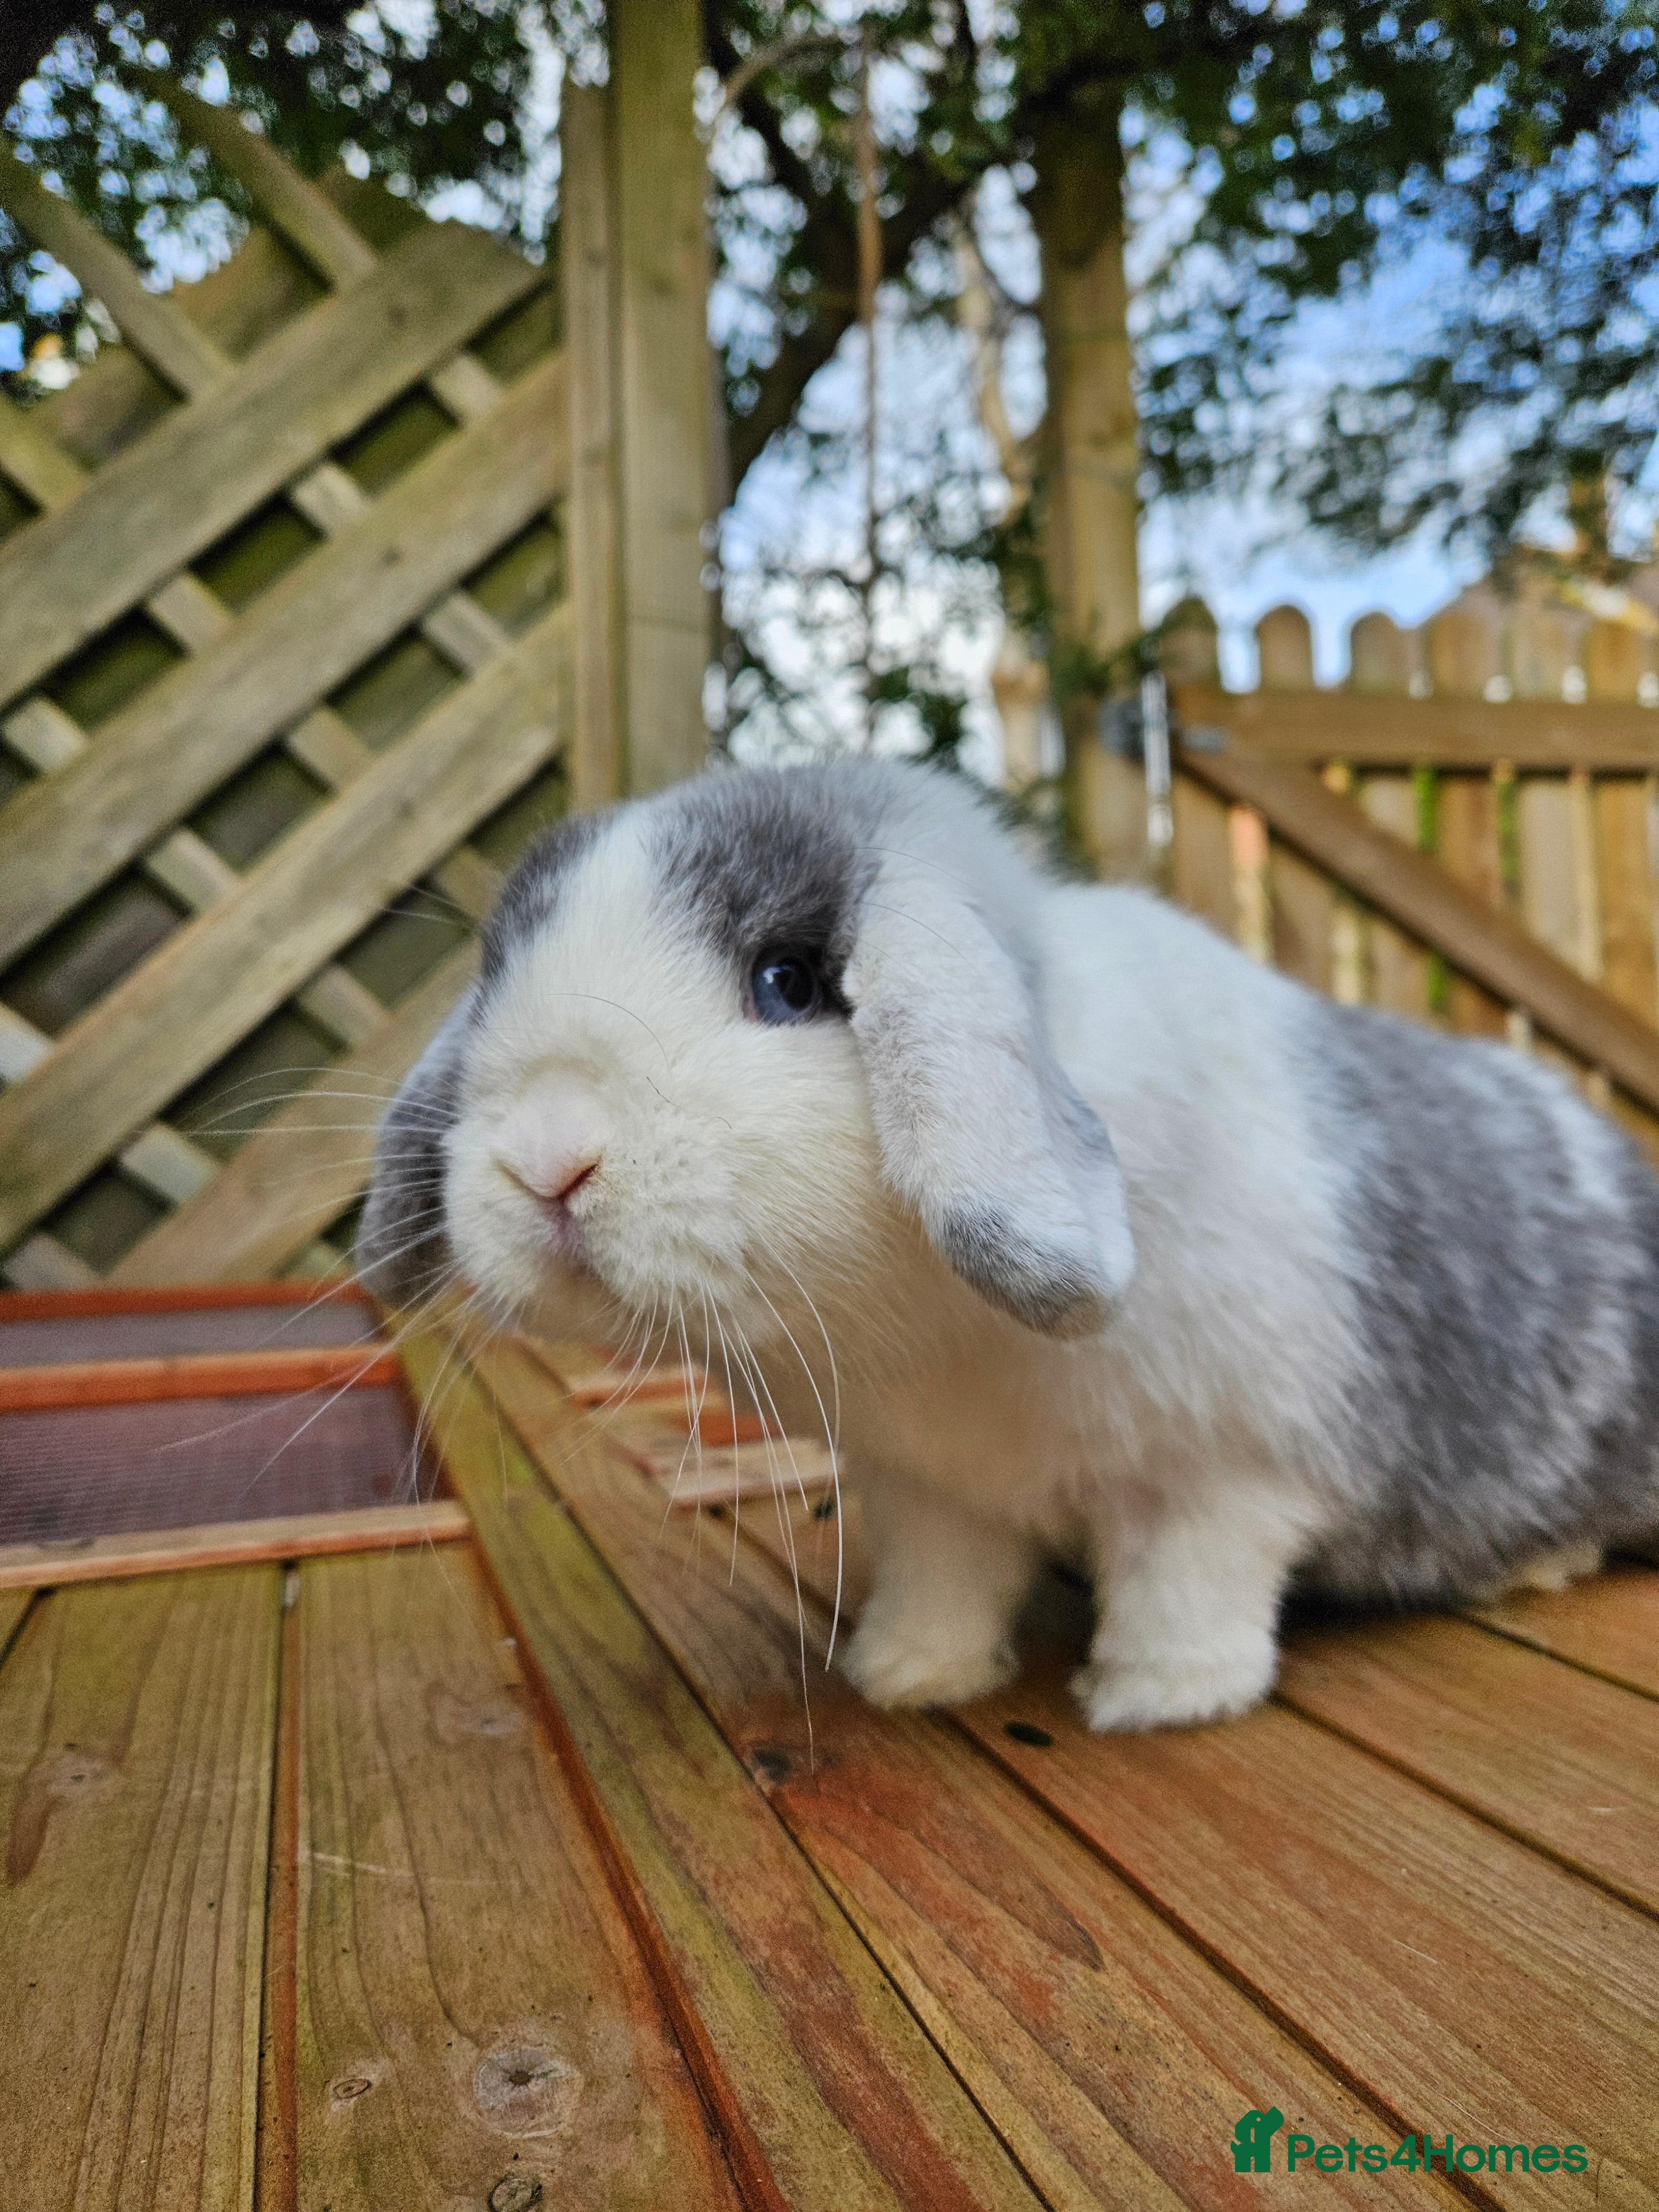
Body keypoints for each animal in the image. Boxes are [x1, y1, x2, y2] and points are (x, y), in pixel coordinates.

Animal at [358, 756, 1659, 1731]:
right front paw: (906, 1677)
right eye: (498, 973)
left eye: (788, 981)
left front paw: (1157, 1697)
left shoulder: (1224, 1472)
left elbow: (1190, 1581)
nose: (547, 1157)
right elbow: (947, 1581)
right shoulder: (935, 1492)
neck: (935, 1325)